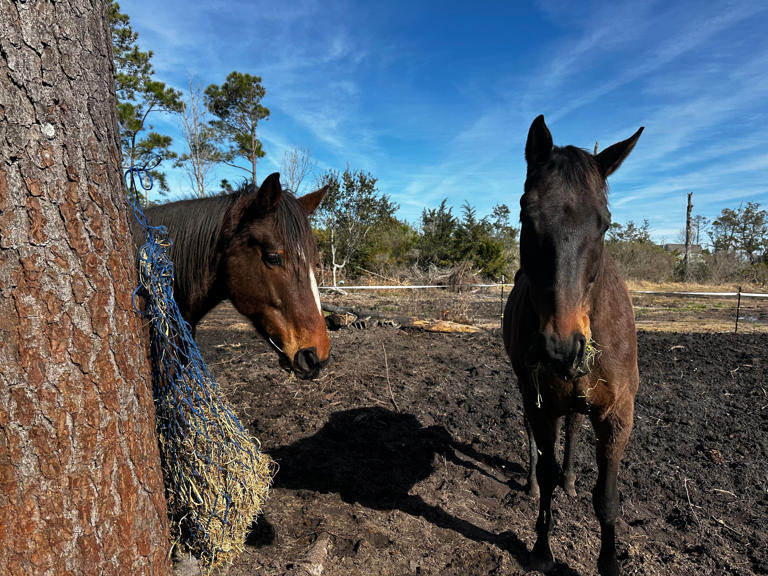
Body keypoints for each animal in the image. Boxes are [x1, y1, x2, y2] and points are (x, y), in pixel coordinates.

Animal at [503, 116, 643, 576]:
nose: (561, 348)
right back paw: (532, 483)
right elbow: (544, 465)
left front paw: (610, 563)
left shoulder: (617, 415)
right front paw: (541, 550)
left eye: (605, 222)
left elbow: (608, 497)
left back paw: (570, 481)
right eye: (526, 212)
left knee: (574, 428)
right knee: (533, 437)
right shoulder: (541, 400)